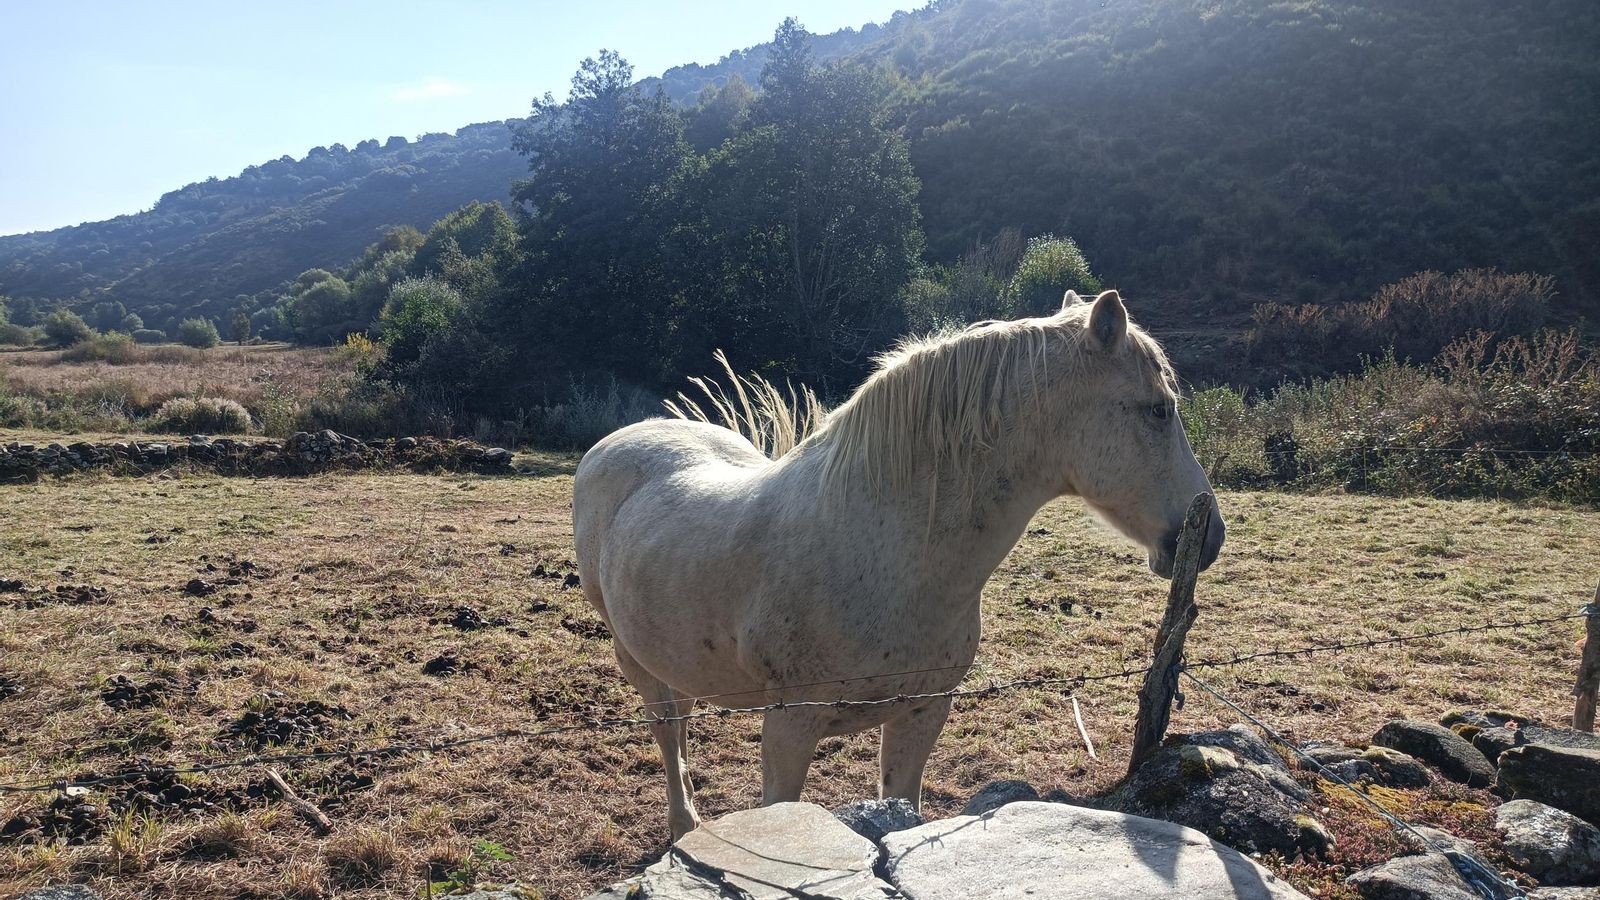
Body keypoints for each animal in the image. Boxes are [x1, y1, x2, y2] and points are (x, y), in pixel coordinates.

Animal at [572, 289, 1225, 838]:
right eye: (1159, 410)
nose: (1209, 535)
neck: (882, 549)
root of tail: (621, 439)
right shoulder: (789, 728)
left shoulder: (921, 713)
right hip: (636, 659)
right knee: (668, 731)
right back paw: (685, 827)